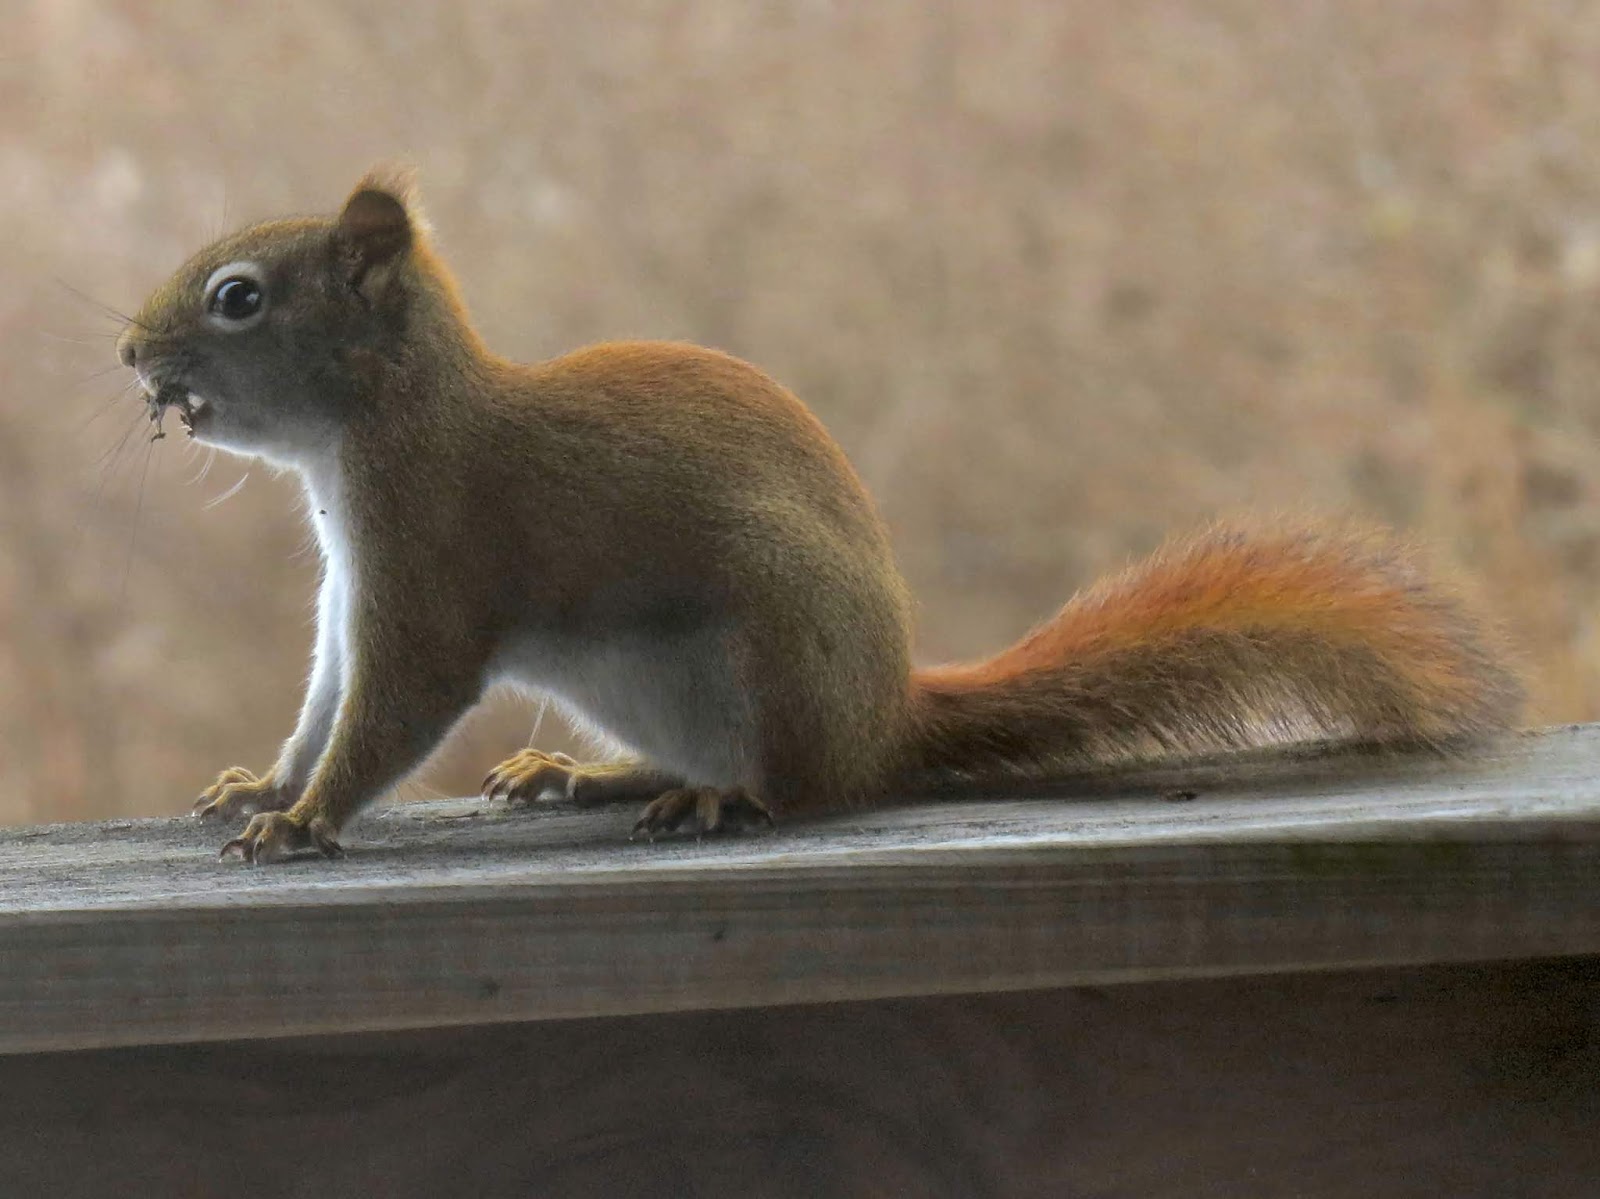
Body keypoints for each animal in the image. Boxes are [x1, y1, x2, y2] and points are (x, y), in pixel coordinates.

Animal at [116, 168, 1523, 858]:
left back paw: (717, 800)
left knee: (795, 785)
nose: (130, 353)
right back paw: (593, 771)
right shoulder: (352, 590)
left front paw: (306, 821)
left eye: (238, 296)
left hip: (772, 639)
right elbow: (322, 697)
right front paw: (264, 785)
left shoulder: (433, 560)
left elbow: (391, 708)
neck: (373, 434)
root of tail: (884, 717)